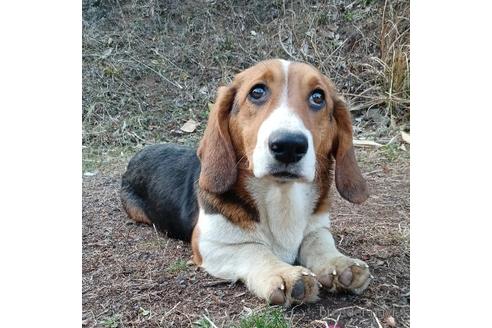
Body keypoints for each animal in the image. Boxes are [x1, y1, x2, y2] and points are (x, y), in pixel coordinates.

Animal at [121, 58, 370, 304]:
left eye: (318, 97)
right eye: (257, 92)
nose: (289, 145)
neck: (281, 194)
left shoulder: (318, 227)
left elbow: (319, 243)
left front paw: (340, 263)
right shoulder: (208, 243)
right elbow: (255, 250)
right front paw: (284, 273)